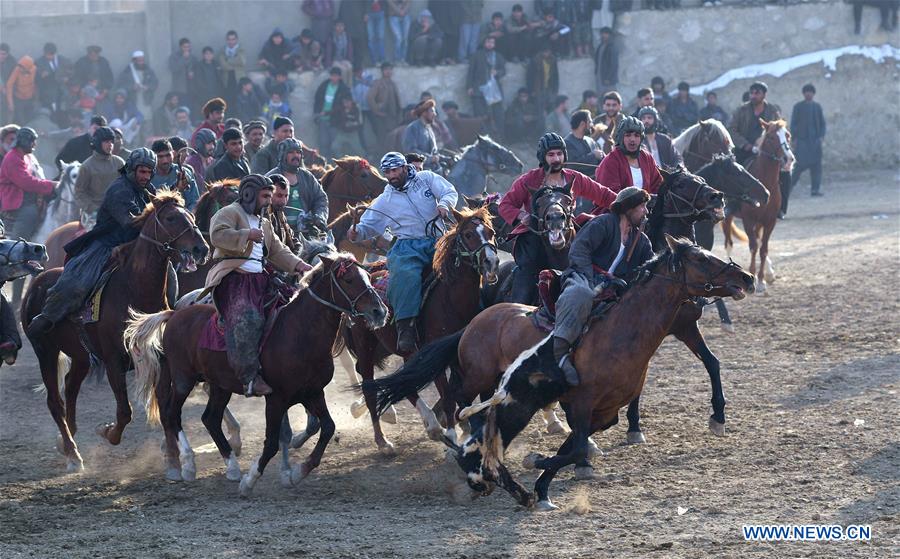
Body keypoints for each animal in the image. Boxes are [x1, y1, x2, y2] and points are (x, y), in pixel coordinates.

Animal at [22, 192, 208, 472]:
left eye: (191, 216)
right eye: (171, 218)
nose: (201, 248)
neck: (134, 291)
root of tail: (36, 285)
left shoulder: (162, 360)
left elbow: (165, 407)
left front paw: (173, 458)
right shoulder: (113, 362)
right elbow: (124, 411)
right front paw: (108, 432)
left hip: (81, 357)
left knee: (70, 387)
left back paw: (67, 441)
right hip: (46, 351)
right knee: (55, 401)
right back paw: (73, 454)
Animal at [124, 254, 386, 494]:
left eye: (367, 275)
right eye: (349, 279)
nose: (380, 311)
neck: (298, 333)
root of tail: (174, 314)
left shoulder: (313, 392)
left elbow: (328, 428)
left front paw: (299, 471)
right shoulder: (276, 399)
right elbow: (271, 443)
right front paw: (252, 480)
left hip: (220, 386)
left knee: (210, 418)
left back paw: (231, 467)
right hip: (183, 379)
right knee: (171, 414)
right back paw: (188, 466)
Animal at [342, 206, 500, 456]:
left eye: (491, 232)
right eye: (468, 235)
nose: (491, 262)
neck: (451, 300)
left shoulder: (456, 355)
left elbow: (461, 394)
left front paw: (466, 431)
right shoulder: (436, 358)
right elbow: (448, 396)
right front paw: (452, 438)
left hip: (402, 350)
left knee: (406, 385)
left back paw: (431, 425)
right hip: (366, 347)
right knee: (369, 386)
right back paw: (384, 441)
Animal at [368, 237, 760, 512]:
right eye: (701, 258)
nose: (747, 276)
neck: (623, 330)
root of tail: (475, 322)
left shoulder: (604, 411)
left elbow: (573, 446)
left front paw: (542, 488)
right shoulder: (583, 403)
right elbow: (574, 448)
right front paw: (536, 463)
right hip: (477, 380)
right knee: (457, 403)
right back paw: (456, 440)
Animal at [724, 120, 796, 296]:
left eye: (788, 135)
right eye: (770, 137)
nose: (788, 159)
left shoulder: (769, 221)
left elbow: (763, 249)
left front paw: (762, 279)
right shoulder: (749, 220)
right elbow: (753, 247)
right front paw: (754, 277)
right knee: (729, 243)